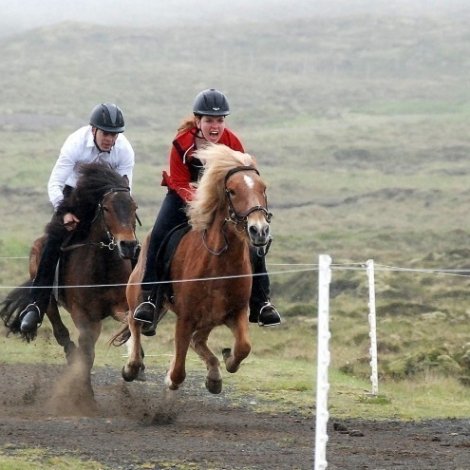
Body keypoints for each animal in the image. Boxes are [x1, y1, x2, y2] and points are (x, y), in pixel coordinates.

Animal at [117, 143, 272, 392]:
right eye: (232, 191)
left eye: (263, 188)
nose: (260, 230)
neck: (220, 263)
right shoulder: (185, 318)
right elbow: (179, 370)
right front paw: (171, 377)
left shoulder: (236, 312)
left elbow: (243, 347)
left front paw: (226, 361)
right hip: (137, 292)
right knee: (135, 321)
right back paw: (132, 366)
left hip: (209, 317)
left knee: (198, 339)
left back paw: (214, 373)